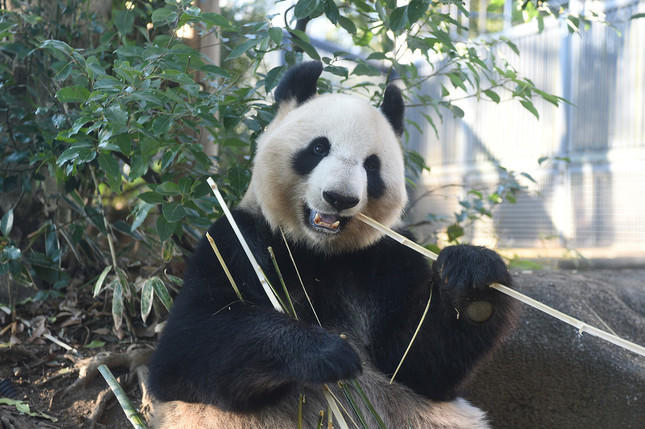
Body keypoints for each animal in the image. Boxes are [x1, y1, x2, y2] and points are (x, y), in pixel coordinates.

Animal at [148, 61, 516, 428]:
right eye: (318, 149)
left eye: (372, 165)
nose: (339, 198)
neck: (319, 251)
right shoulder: (236, 240)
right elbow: (186, 343)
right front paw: (325, 352)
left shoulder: (387, 257)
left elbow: (414, 363)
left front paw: (472, 278)